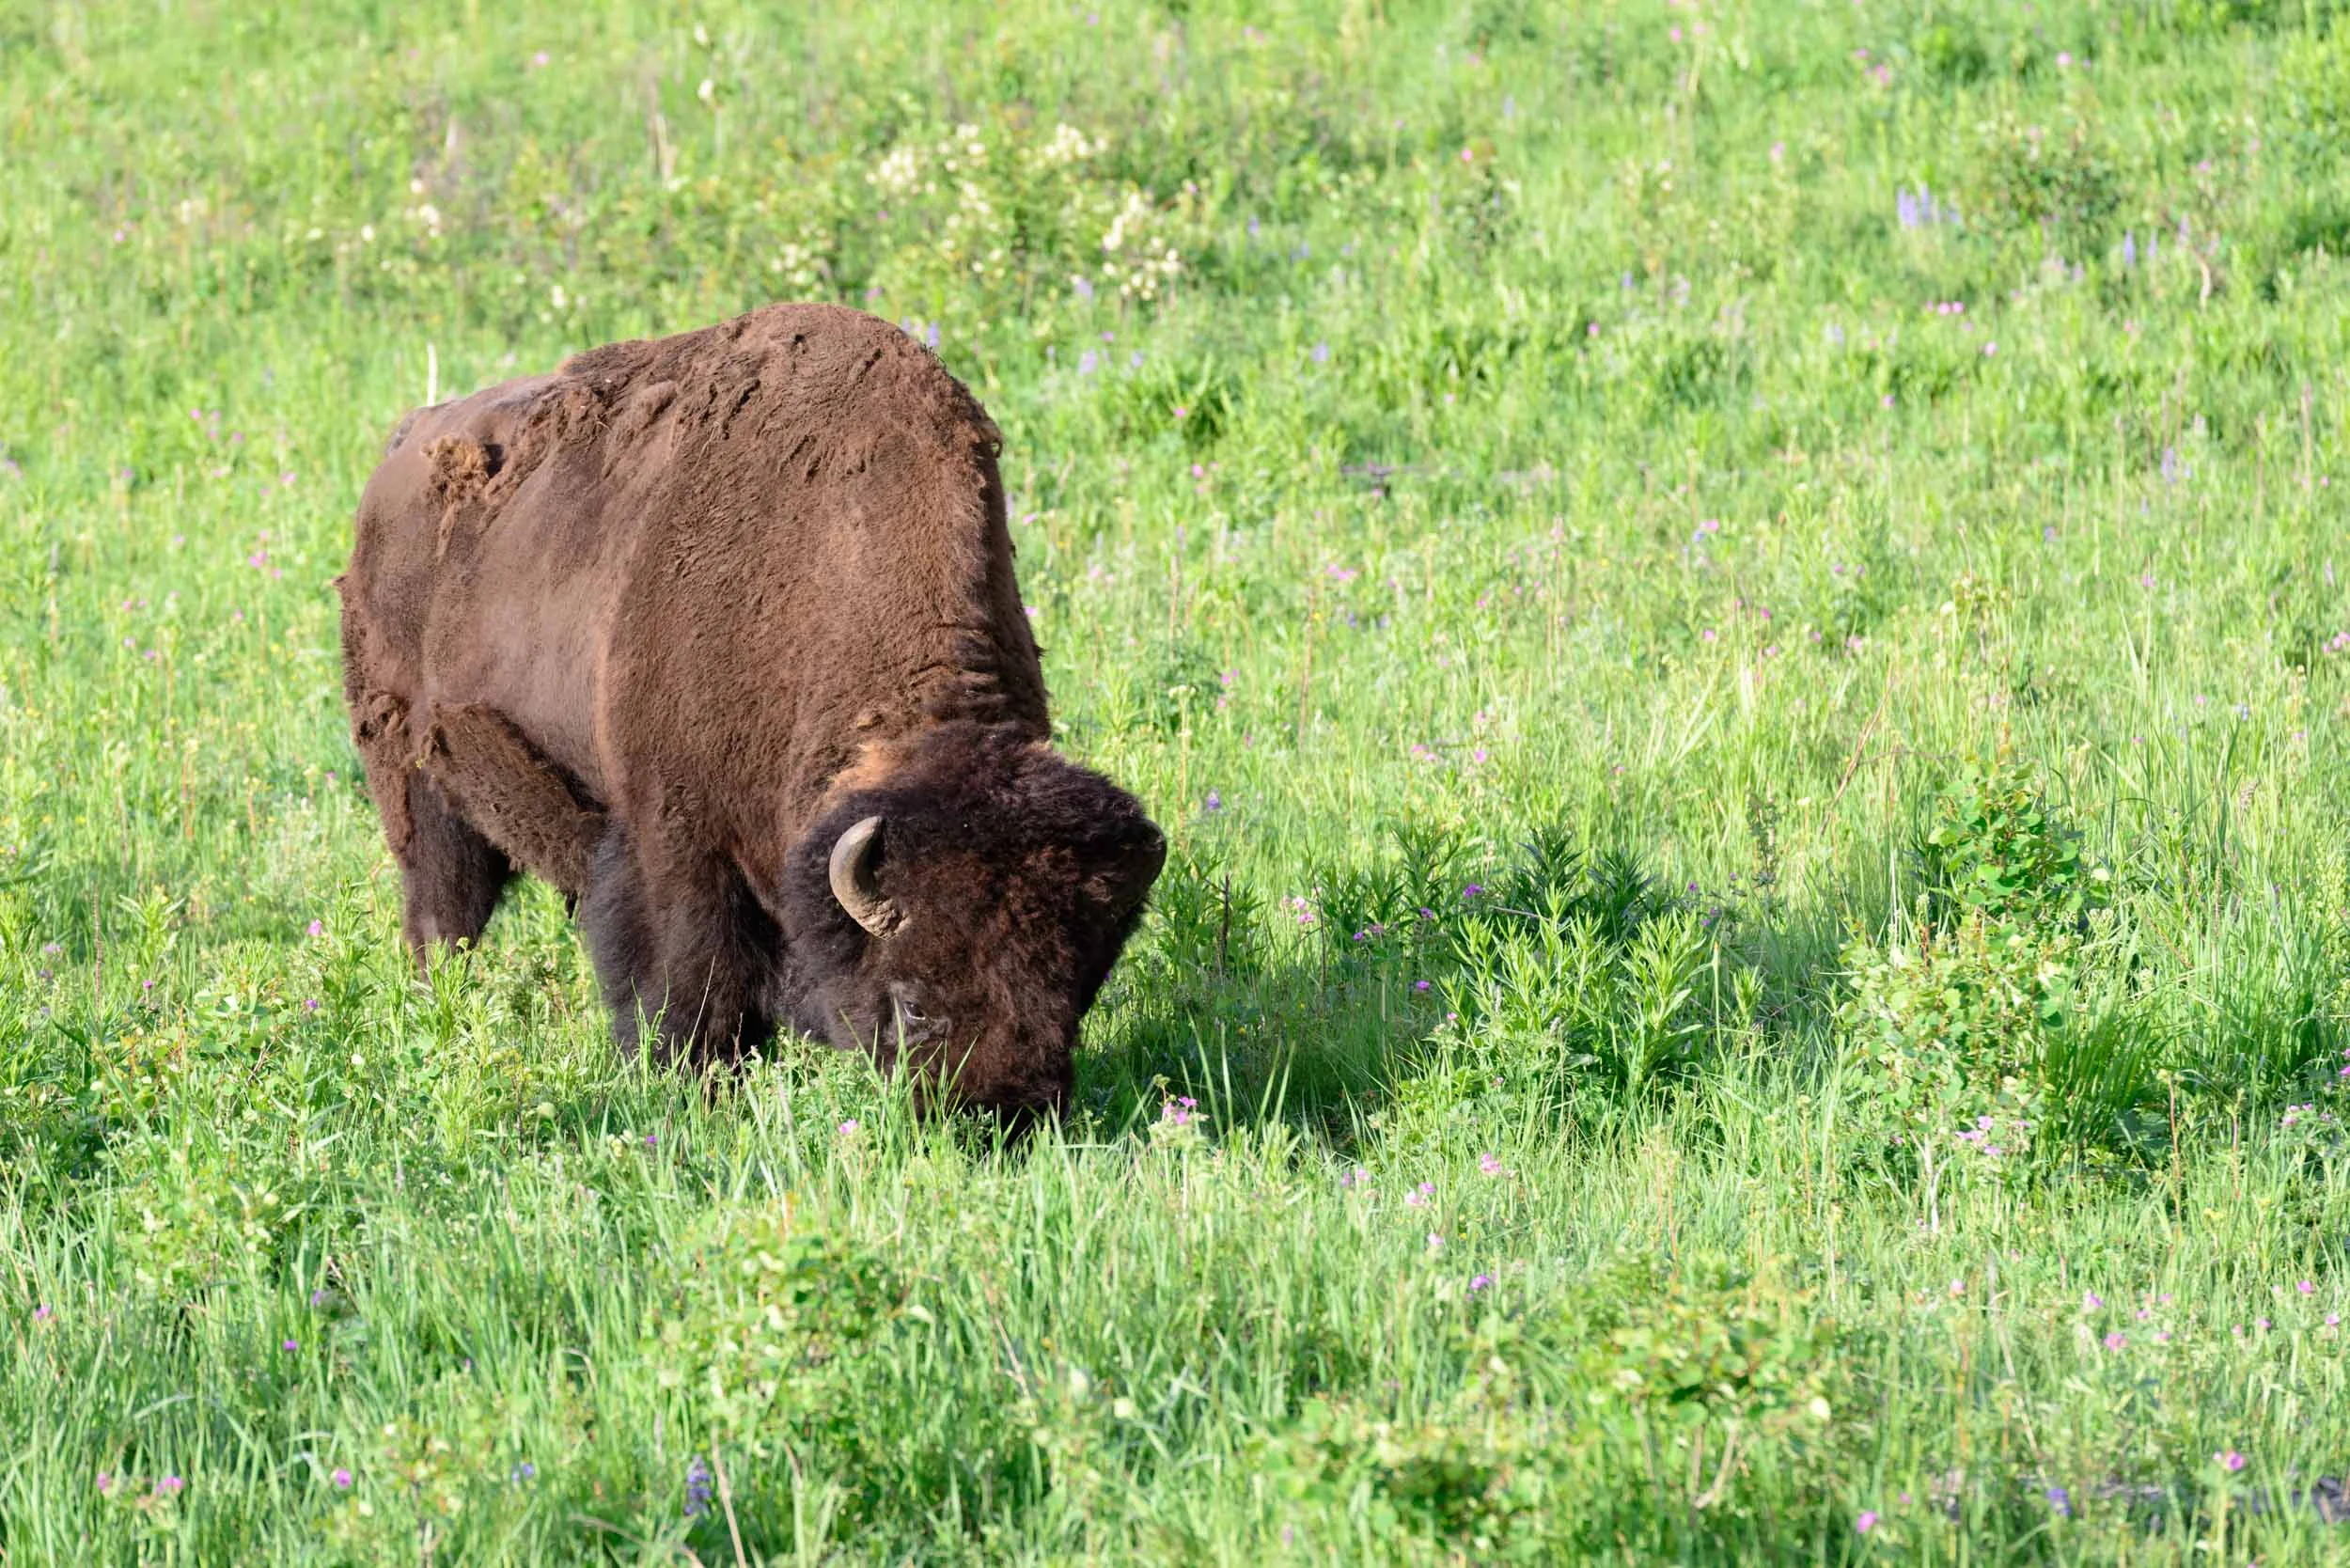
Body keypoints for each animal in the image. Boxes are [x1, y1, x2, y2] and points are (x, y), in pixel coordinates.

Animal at [335, 303, 1165, 1122]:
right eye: (913, 1004)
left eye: (1075, 997)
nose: (1001, 1116)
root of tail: (398, 458)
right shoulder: (678, 842)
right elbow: (690, 978)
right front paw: (688, 1085)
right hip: (414, 782)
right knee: (442, 913)